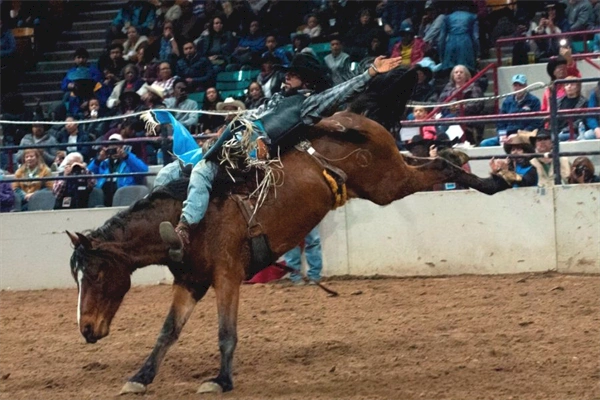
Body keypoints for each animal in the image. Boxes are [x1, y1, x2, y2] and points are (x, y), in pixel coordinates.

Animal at [69, 71, 510, 394]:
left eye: (95, 274)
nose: (86, 330)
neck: (188, 223)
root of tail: (353, 116)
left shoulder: (227, 276)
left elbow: (226, 332)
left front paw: (220, 380)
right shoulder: (191, 282)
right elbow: (167, 332)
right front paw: (140, 377)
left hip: (388, 184)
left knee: (437, 168)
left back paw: (493, 181)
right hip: (389, 174)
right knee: (428, 161)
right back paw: (464, 159)